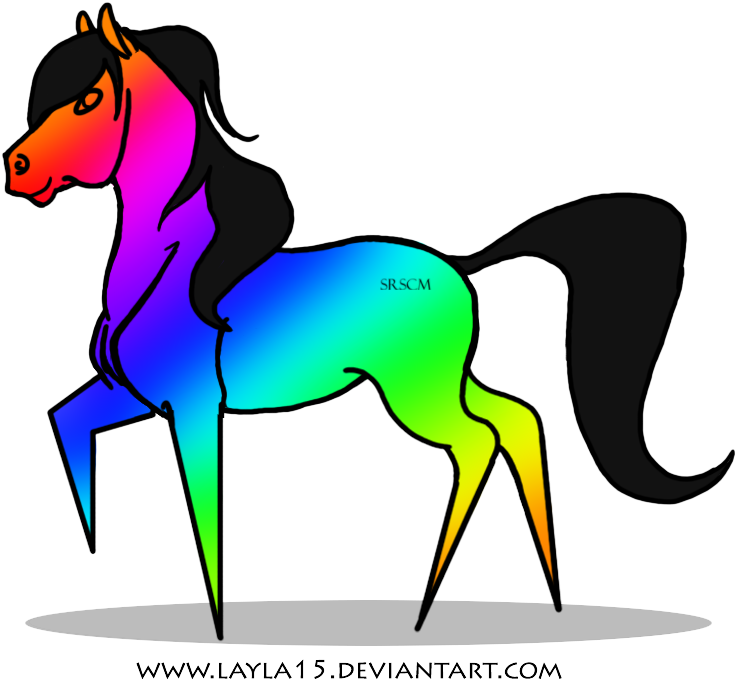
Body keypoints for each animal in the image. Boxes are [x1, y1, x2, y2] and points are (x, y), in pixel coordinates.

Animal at [5, 3, 734, 641]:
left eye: (88, 100)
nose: (17, 169)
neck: (176, 263)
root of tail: (457, 265)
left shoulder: (192, 406)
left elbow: (208, 522)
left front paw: (216, 629)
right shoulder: (134, 394)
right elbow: (64, 419)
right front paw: (92, 542)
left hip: (419, 395)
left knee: (479, 441)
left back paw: (427, 610)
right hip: (448, 382)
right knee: (519, 419)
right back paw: (542, 600)